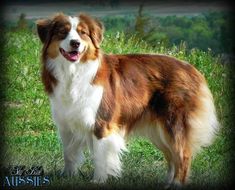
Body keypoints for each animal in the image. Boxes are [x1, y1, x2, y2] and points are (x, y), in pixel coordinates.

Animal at [36, 13, 218, 187]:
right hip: (158, 131)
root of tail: (192, 69)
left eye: (83, 33)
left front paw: (98, 181)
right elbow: (69, 153)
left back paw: (177, 184)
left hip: (174, 122)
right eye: (63, 32)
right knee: (172, 155)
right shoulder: (66, 124)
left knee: (183, 154)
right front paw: (66, 177)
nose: (75, 43)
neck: (73, 71)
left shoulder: (102, 122)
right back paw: (168, 183)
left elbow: (100, 156)